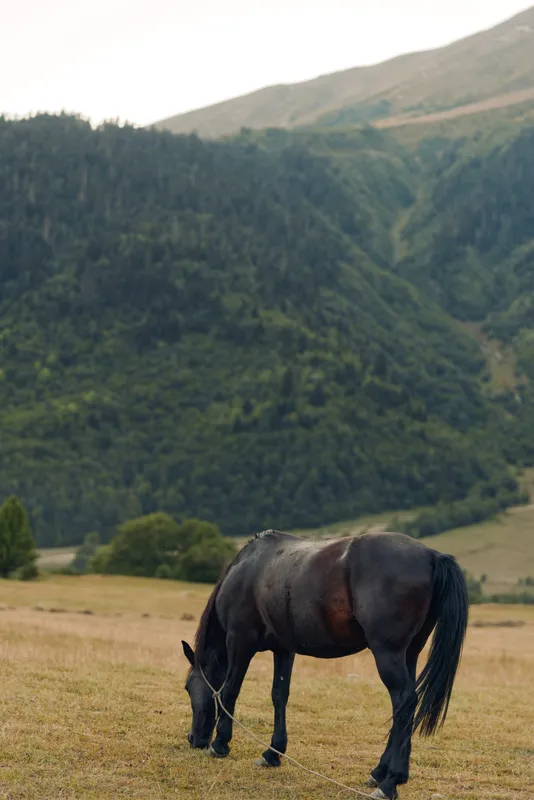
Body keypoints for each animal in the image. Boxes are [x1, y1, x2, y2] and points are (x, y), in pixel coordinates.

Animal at [181, 529, 468, 800]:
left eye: (187, 687)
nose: (194, 739)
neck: (247, 569)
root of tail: (431, 555)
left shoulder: (239, 641)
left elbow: (229, 691)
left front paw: (220, 744)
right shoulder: (284, 649)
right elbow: (279, 695)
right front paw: (273, 753)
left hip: (388, 653)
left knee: (404, 701)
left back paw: (390, 782)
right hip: (410, 653)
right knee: (405, 707)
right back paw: (380, 773)